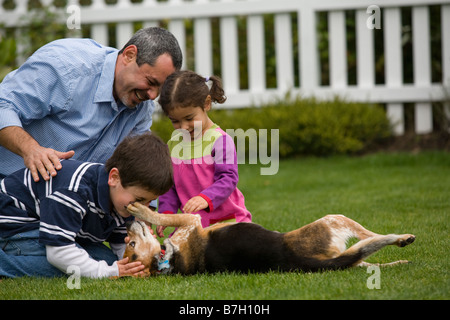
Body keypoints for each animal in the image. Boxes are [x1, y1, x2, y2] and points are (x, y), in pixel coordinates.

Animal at [123, 202, 414, 276]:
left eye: (130, 245)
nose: (127, 229)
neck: (170, 261)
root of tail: (299, 261)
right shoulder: (191, 222)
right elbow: (164, 216)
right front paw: (143, 210)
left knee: (366, 260)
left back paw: (400, 261)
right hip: (332, 220)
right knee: (371, 238)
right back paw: (404, 238)